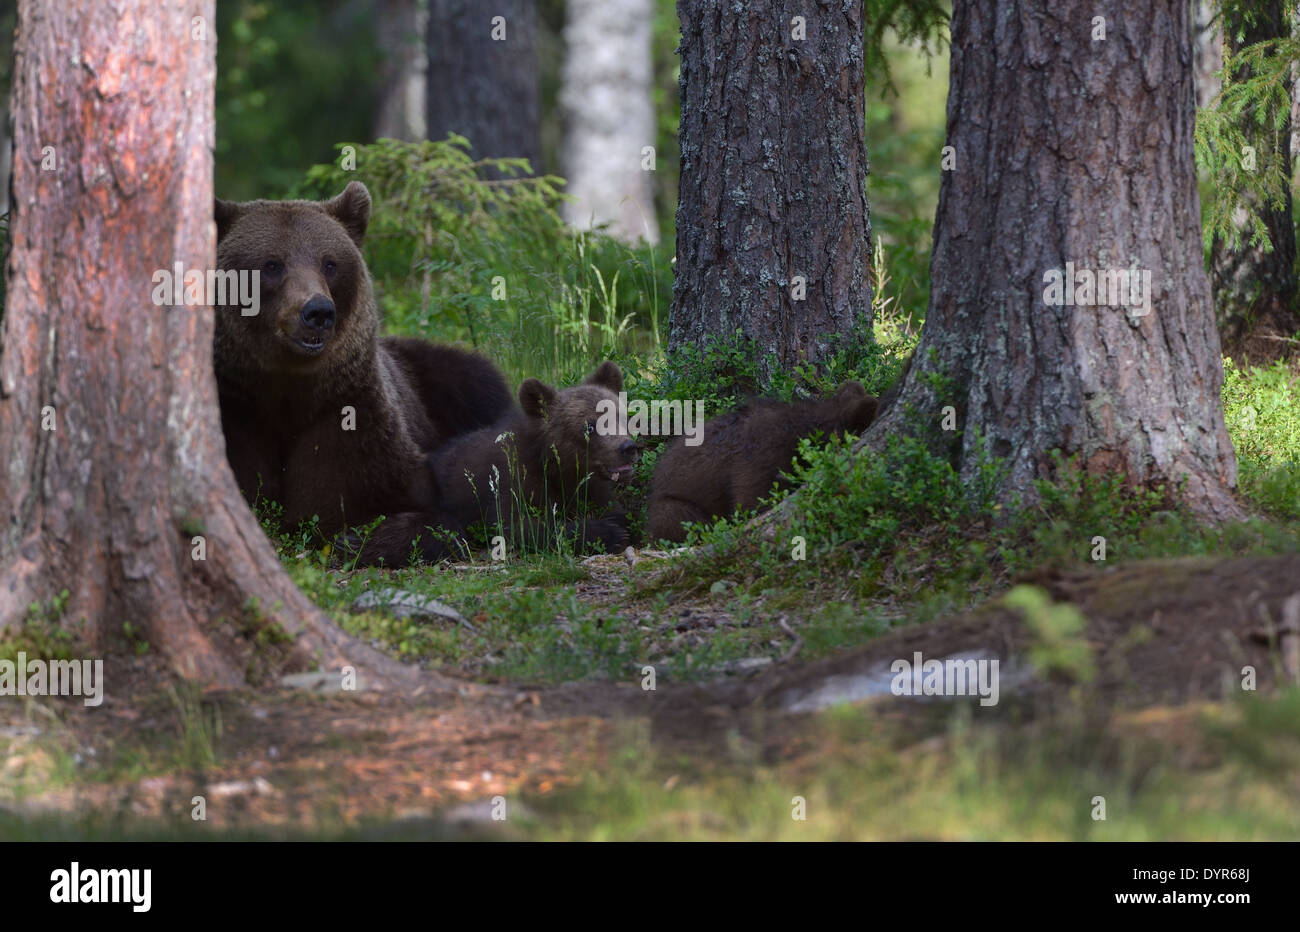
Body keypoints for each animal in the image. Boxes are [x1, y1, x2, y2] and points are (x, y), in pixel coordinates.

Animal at [212, 181, 513, 565]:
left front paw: (356, 538)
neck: (288, 391)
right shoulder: (236, 411)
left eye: (330, 263)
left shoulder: (351, 414)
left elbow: (421, 502)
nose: (318, 311)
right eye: (271, 264)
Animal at [376, 361, 638, 562]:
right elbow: (517, 525)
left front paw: (616, 522)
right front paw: (607, 532)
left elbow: (612, 507)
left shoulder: (590, 485)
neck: (556, 467)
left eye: (622, 417)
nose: (628, 448)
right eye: (589, 426)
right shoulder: (508, 480)